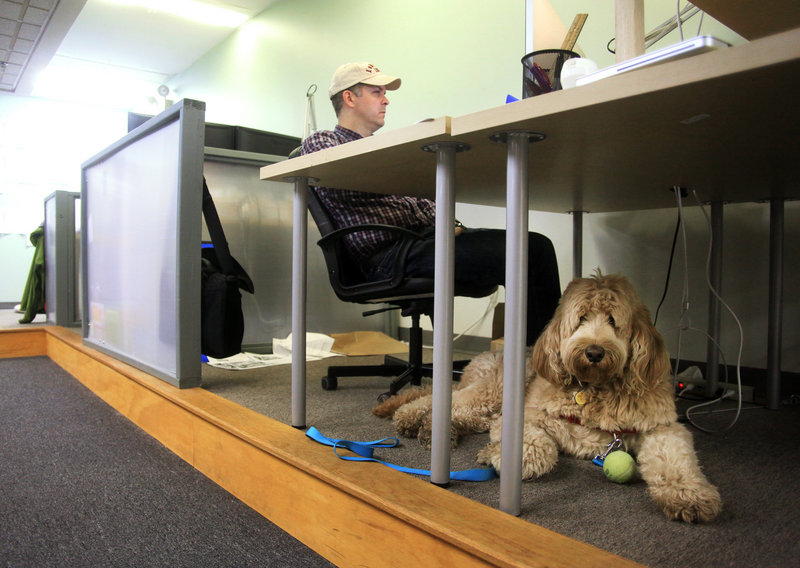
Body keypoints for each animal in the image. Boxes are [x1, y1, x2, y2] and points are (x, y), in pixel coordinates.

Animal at [376, 272, 724, 520]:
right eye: (581, 318)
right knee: (436, 400)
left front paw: (688, 495)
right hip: (493, 392)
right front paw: (505, 456)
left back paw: (433, 431)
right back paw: (412, 420)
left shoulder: (662, 427)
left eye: (613, 320)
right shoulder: (528, 415)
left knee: (455, 412)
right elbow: (538, 447)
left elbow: (676, 459)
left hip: (486, 407)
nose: (594, 352)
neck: (595, 389)